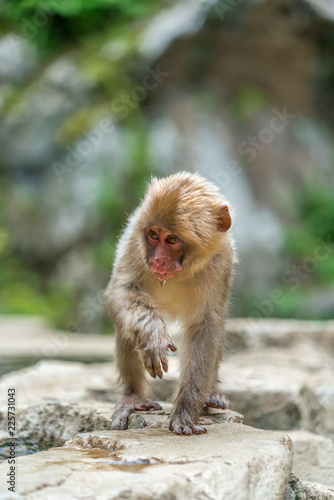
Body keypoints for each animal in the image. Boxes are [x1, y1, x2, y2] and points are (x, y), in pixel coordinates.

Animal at [105, 171, 235, 434]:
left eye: (172, 239)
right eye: (154, 235)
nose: (157, 261)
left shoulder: (221, 260)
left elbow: (206, 327)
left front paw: (185, 411)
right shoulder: (135, 239)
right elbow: (121, 291)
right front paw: (152, 336)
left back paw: (211, 395)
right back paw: (133, 397)